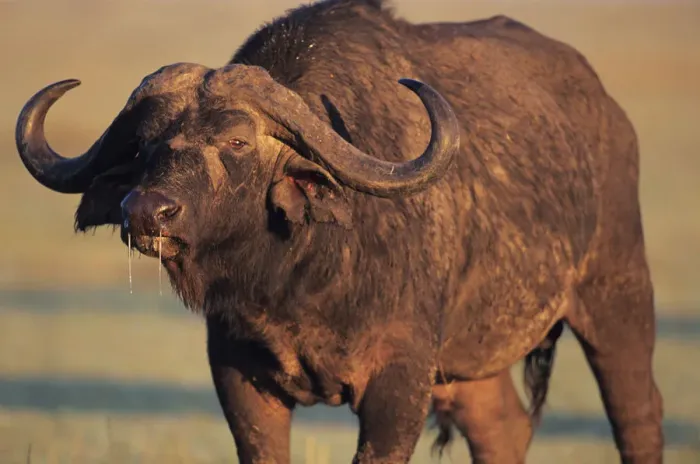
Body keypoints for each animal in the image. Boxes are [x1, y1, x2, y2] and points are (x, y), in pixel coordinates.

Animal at [15, 0, 663, 462]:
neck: (301, 276)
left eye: (237, 141)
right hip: (472, 360)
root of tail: (610, 114)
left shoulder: (399, 382)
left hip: (617, 294)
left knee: (639, 413)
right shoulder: (238, 376)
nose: (147, 211)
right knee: (502, 429)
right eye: (146, 144)